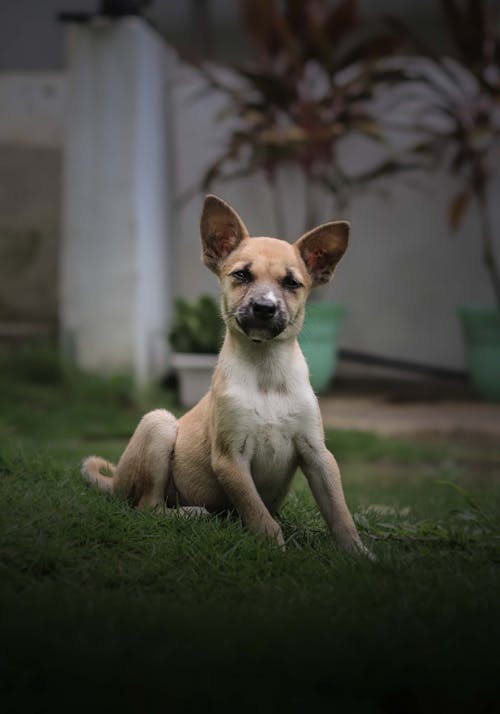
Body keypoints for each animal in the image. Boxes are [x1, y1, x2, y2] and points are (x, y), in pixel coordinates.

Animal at [82, 196, 370, 556]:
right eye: (242, 275)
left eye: (291, 283)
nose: (264, 308)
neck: (266, 372)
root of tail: (116, 479)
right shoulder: (230, 457)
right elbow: (257, 511)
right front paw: (272, 548)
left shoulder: (317, 455)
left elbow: (339, 512)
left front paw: (357, 553)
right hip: (158, 423)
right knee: (148, 506)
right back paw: (194, 514)